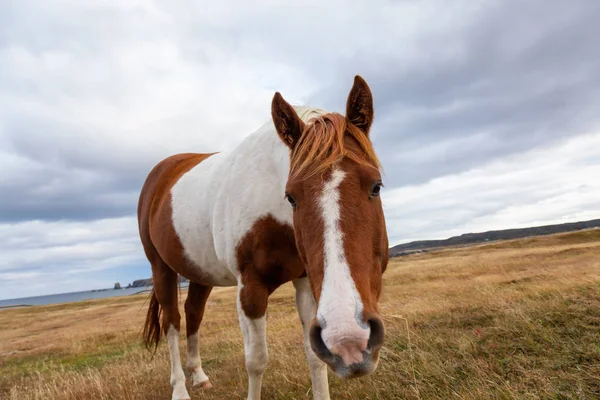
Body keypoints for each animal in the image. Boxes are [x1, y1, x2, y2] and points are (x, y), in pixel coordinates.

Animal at [136, 76, 390, 400]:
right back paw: (180, 388)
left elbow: (315, 357)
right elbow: (256, 361)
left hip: (199, 272)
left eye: (376, 186)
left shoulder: (307, 282)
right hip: (161, 268)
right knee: (172, 322)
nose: (349, 340)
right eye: (291, 196)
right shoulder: (250, 288)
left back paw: (199, 376)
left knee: (193, 313)